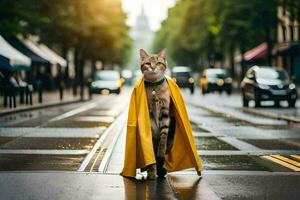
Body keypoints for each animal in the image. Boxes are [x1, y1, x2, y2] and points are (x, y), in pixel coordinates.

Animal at [138, 48, 173, 180]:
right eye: (148, 63)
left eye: (158, 63)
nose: (153, 68)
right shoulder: (150, 115)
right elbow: (151, 153)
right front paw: (152, 172)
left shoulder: (165, 112)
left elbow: (163, 137)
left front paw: (161, 152)